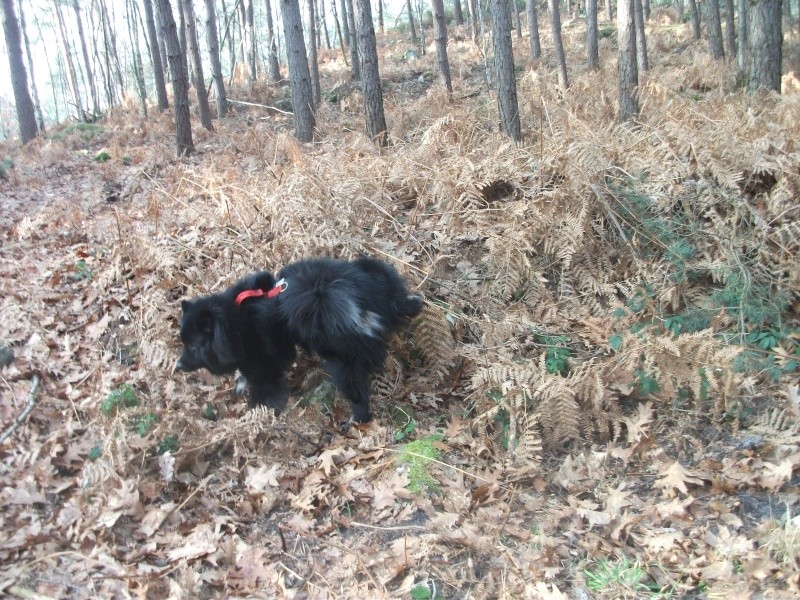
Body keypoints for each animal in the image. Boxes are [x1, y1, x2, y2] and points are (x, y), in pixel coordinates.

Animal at [177, 258, 422, 422]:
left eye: (193, 345)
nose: (177, 365)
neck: (234, 325)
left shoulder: (264, 367)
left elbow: (264, 391)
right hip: (377, 277)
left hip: (341, 362)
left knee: (356, 392)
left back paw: (357, 418)